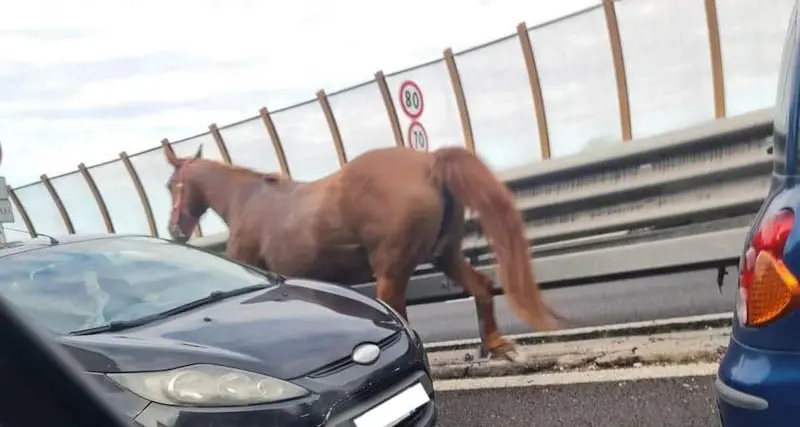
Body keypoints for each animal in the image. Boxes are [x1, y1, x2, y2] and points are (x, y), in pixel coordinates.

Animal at [164, 144, 564, 362]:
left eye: (170, 185)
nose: (174, 231)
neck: (247, 202)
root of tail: (429, 163)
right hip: (446, 254)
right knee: (481, 287)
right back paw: (498, 346)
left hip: (391, 273)